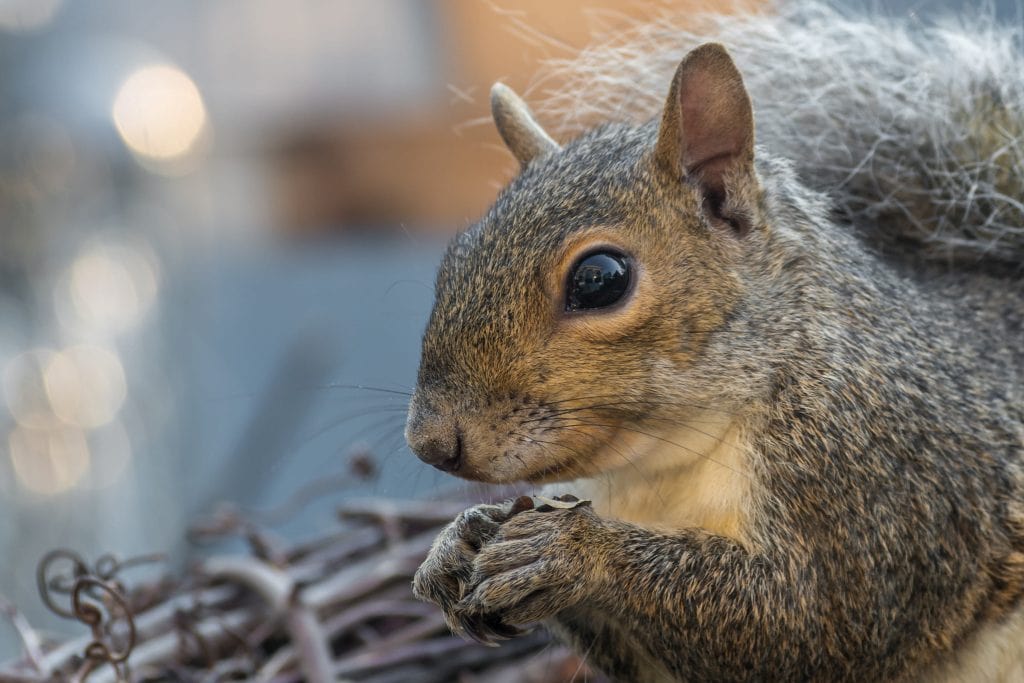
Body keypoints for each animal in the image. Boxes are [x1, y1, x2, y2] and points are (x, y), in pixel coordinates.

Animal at [405, 2, 1024, 681]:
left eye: (600, 280)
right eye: (451, 261)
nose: (430, 443)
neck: (664, 462)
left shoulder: (874, 490)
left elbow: (809, 623)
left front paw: (578, 552)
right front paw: (457, 541)